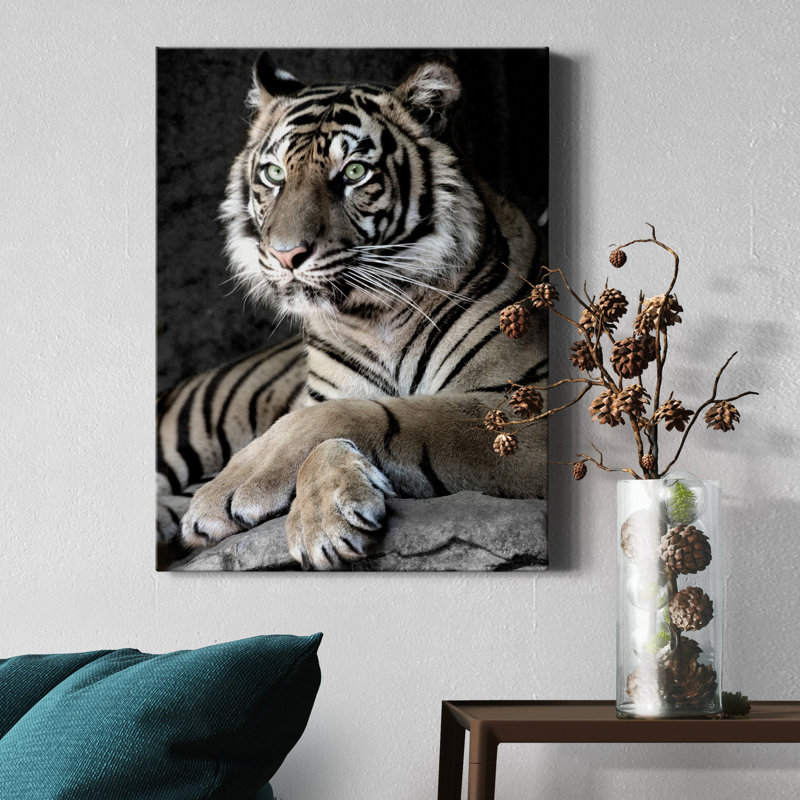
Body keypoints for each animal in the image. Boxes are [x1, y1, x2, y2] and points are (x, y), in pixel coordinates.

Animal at [157, 52, 548, 570]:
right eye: (275, 175)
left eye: (356, 172)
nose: (285, 255)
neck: (374, 318)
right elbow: (326, 420)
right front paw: (322, 518)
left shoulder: (527, 410)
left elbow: (358, 417)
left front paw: (256, 496)